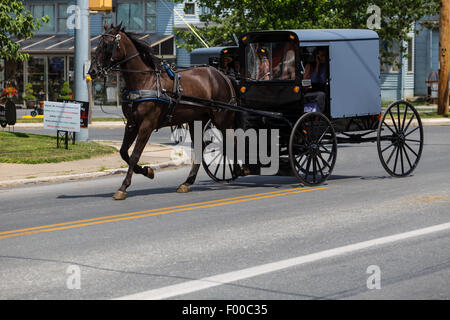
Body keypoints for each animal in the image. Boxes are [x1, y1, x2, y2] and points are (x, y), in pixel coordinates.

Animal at [89, 24, 239, 200]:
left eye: (107, 45)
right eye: (98, 45)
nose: (92, 71)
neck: (145, 81)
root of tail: (223, 76)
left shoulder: (146, 125)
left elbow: (134, 155)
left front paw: (123, 187)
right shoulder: (132, 124)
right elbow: (124, 152)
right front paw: (147, 171)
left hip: (222, 118)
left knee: (233, 142)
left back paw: (241, 169)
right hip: (197, 120)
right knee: (200, 149)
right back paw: (187, 182)